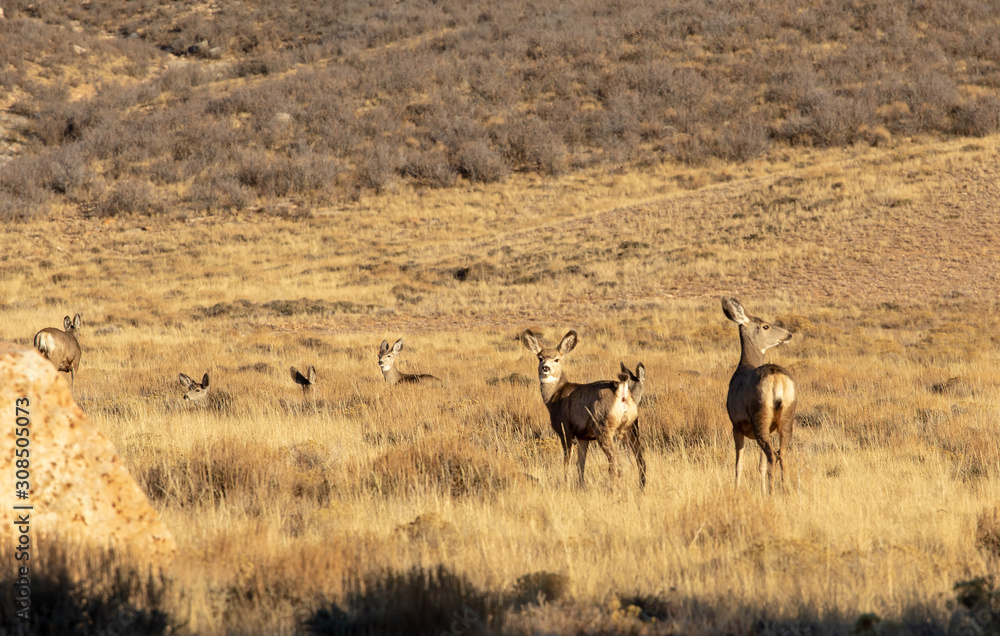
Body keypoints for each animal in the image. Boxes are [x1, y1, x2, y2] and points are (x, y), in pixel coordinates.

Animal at [521, 329, 645, 489]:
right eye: (540, 358)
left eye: (556, 359)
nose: (545, 368)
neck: (555, 396)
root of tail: (622, 391)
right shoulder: (582, 436)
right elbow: (580, 464)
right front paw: (580, 485)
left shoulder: (565, 429)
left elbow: (567, 461)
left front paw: (566, 483)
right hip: (632, 426)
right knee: (641, 459)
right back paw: (641, 487)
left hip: (603, 426)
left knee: (615, 460)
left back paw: (614, 488)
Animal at [721, 297, 797, 494]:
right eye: (765, 326)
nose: (788, 334)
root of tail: (777, 378)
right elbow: (759, 465)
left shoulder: (736, 425)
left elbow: (739, 464)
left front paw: (736, 489)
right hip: (786, 415)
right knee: (782, 453)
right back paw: (784, 488)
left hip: (759, 415)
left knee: (772, 454)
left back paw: (772, 491)